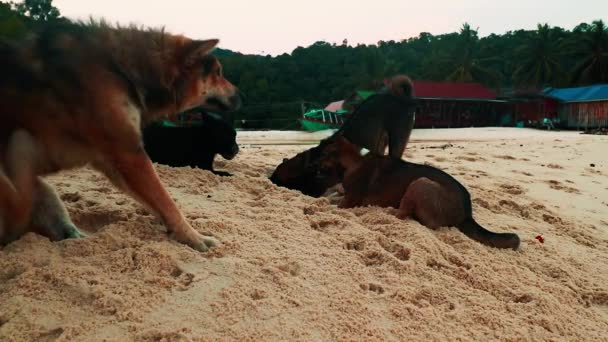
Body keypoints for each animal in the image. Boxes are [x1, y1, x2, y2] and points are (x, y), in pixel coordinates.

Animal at [0, 20, 242, 251]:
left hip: (47, 195)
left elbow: (157, 203)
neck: (122, 69)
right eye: (218, 73)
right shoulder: (128, 153)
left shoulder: (114, 159)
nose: (240, 94)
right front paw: (195, 237)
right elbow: (167, 202)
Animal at [318, 135, 524, 250]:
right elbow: (331, 196)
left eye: (320, 154)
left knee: (406, 216)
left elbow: (334, 202)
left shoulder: (349, 202)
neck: (354, 160)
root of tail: (467, 213)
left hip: (420, 183)